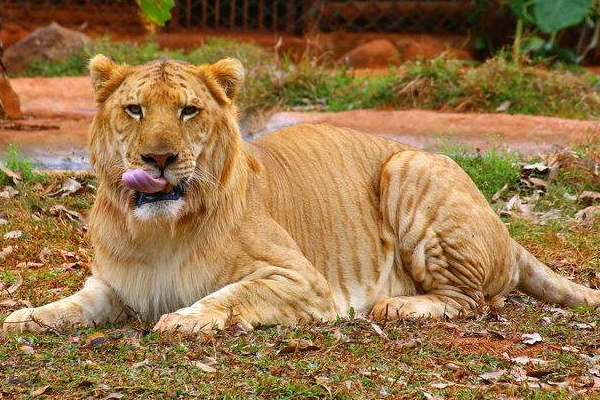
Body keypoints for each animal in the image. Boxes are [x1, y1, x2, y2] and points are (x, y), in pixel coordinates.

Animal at [2, 54, 596, 334]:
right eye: (134, 110)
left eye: (189, 111)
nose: (159, 160)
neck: (160, 231)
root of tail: (505, 232)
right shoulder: (114, 284)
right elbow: (74, 303)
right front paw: (26, 317)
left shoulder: (305, 283)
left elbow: (230, 294)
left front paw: (187, 318)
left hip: (410, 166)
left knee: (474, 301)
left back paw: (399, 306)